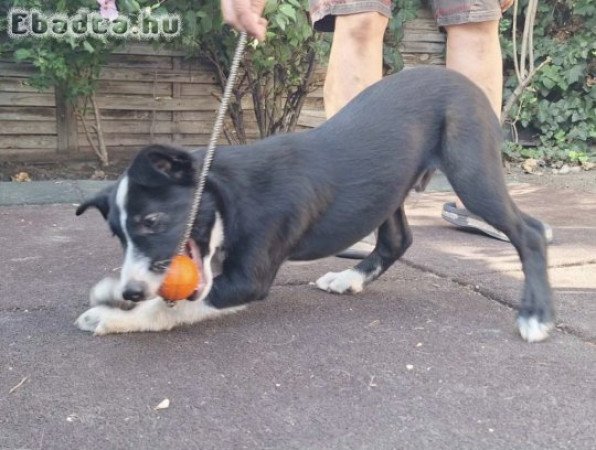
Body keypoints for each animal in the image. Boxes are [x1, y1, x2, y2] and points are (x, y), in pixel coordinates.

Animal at [74, 66, 556, 342]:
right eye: (118, 237)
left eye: (152, 221)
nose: (131, 290)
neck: (228, 194)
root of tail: (463, 80)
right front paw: (112, 296)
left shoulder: (247, 280)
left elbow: (169, 307)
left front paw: (114, 316)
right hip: (389, 189)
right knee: (397, 239)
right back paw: (350, 277)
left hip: (470, 169)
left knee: (529, 232)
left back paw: (536, 314)